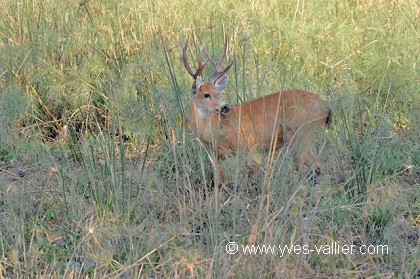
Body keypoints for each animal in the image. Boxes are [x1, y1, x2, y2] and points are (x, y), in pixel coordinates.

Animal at [182, 36, 334, 178]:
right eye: (206, 94)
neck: (214, 131)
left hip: (301, 134)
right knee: (319, 167)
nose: (225, 106)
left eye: (217, 92)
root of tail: (326, 106)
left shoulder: (248, 148)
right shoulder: (215, 156)